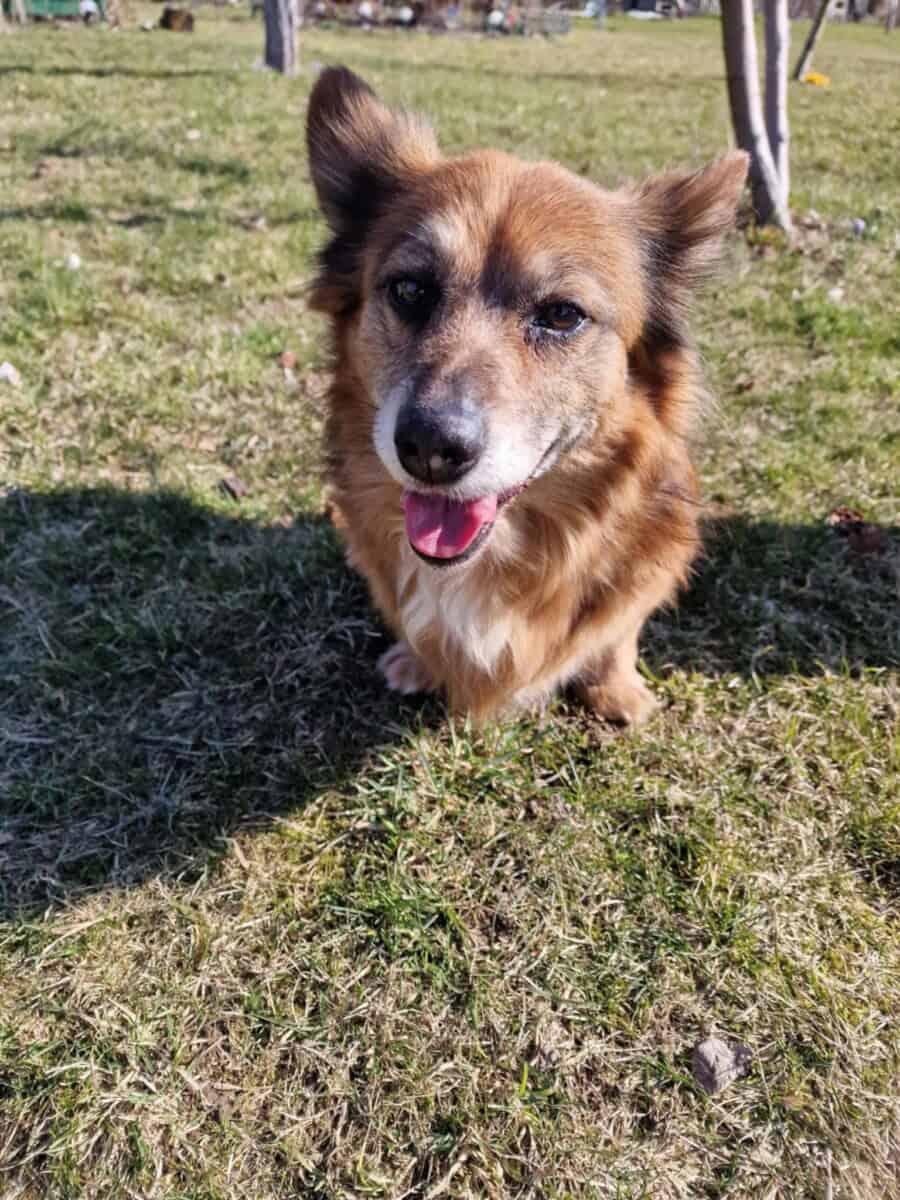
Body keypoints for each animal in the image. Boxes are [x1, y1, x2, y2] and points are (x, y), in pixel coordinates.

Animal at [306, 67, 747, 725]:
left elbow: (617, 633)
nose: (430, 448)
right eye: (409, 289)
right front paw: (415, 661)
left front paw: (617, 690)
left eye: (562, 315)